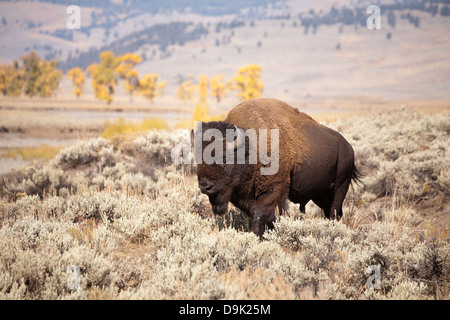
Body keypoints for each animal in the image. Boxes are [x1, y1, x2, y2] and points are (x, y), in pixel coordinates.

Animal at [192, 98, 360, 238]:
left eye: (224, 158)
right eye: (198, 158)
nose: (205, 186)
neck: (249, 147)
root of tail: (349, 148)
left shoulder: (276, 188)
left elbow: (259, 212)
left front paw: (255, 236)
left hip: (340, 186)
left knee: (334, 211)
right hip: (320, 193)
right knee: (329, 210)